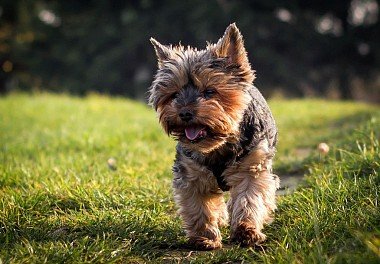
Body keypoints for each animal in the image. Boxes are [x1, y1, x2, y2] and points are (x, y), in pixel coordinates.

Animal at [148, 24, 280, 250]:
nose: (184, 113)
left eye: (210, 92)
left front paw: (246, 231)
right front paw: (205, 237)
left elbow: (250, 199)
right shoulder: (191, 173)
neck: (218, 145)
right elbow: (199, 205)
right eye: (174, 94)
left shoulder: (252, 167)